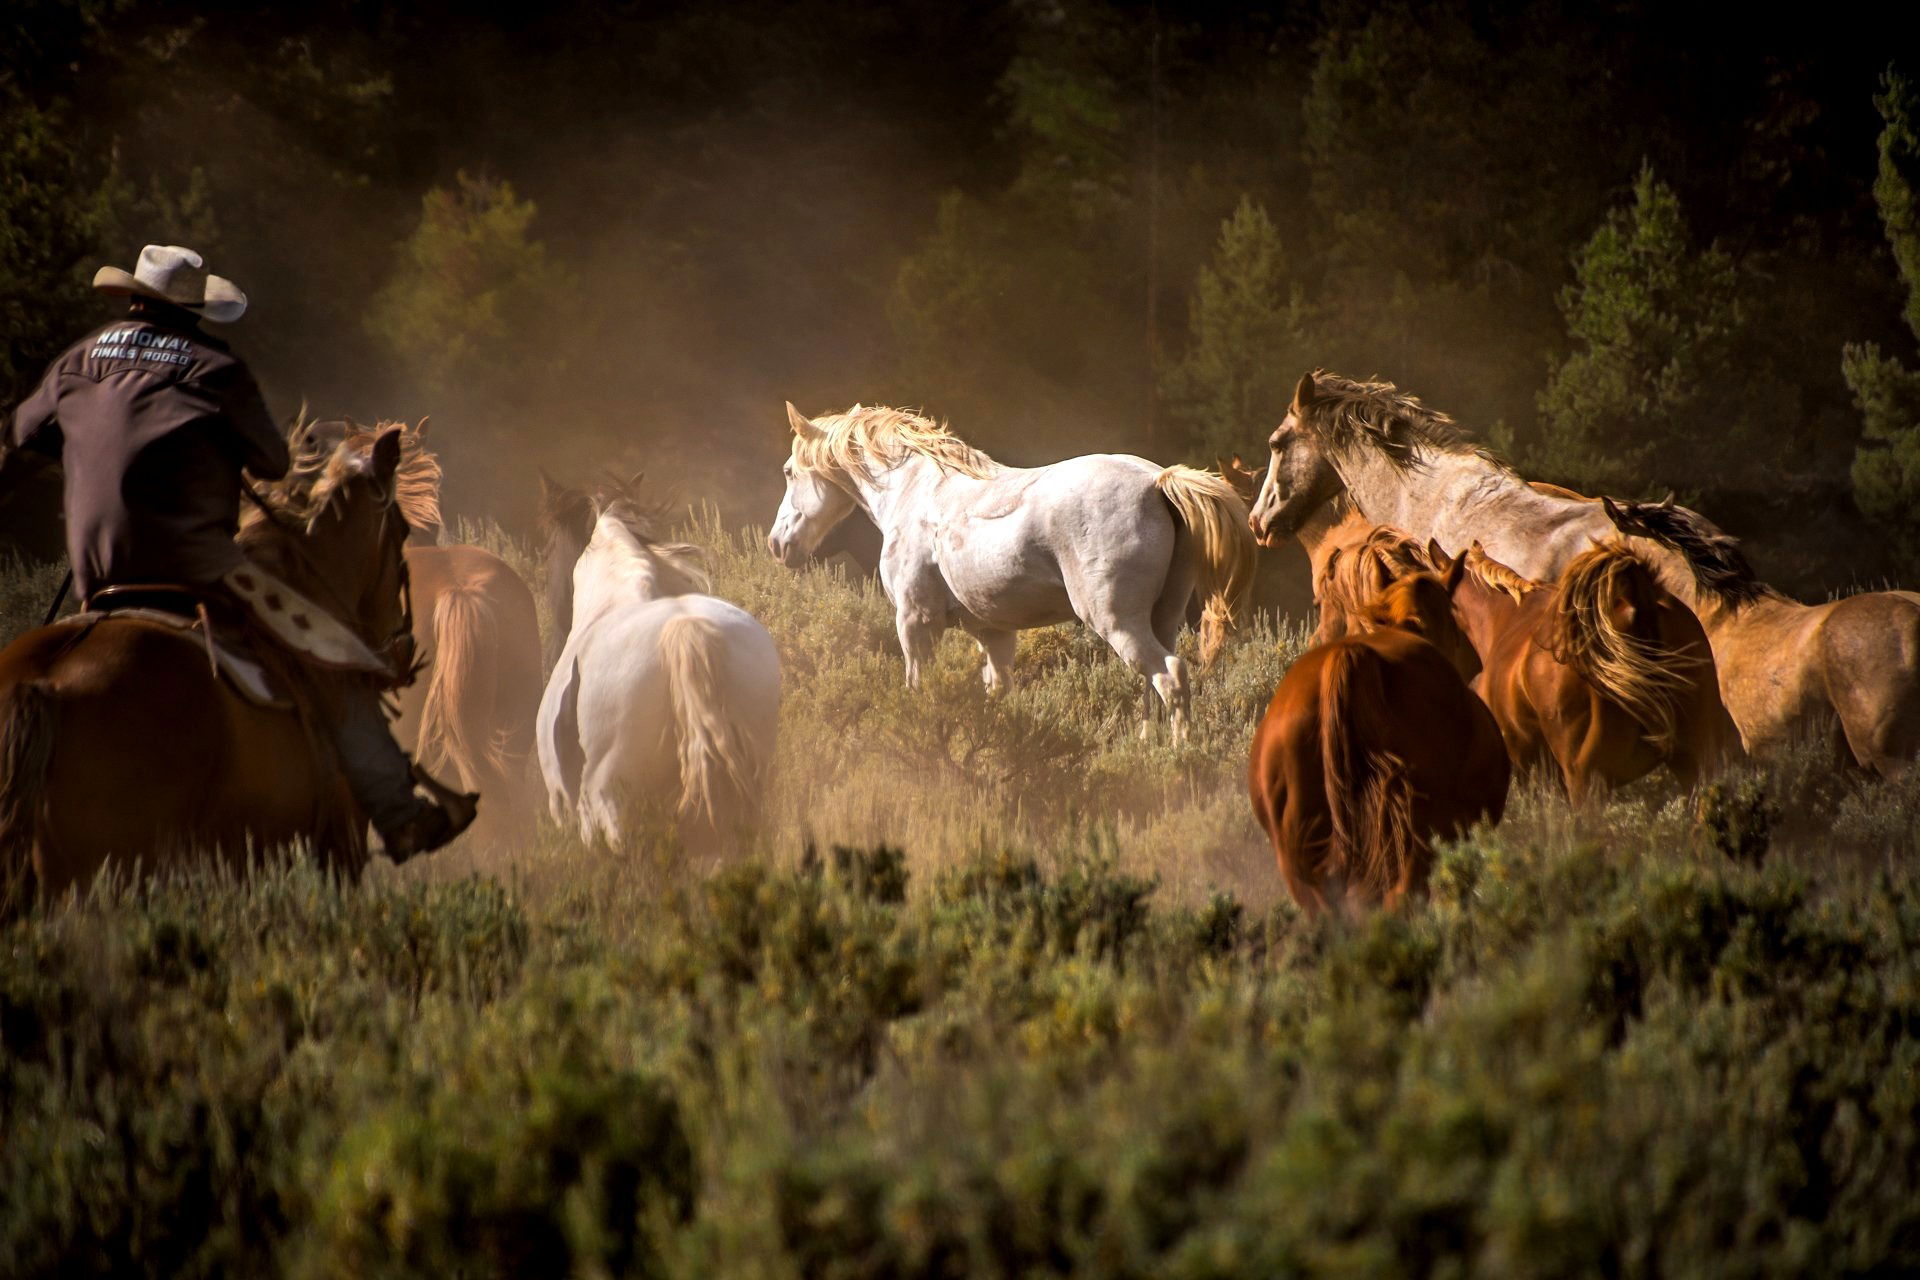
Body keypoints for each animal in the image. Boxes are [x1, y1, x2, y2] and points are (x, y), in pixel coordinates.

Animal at [764, 401, 1259, 740]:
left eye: (788, 471)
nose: (777, 544)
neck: (916, 490)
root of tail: (1157, 483)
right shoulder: (993, 633)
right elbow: (995, 694)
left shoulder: (915, 621)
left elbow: (918, 686)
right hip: (1163, 618)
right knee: (1151, 689)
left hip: (1117, 621)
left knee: (1170, 677)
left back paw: (1179, 757)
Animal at [1244, 564, 1512, 917]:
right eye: (1455, 622)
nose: (1476, 660)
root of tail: (1350, 655)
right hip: (1415, 838)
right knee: (1401, 899)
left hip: (1300, 862)